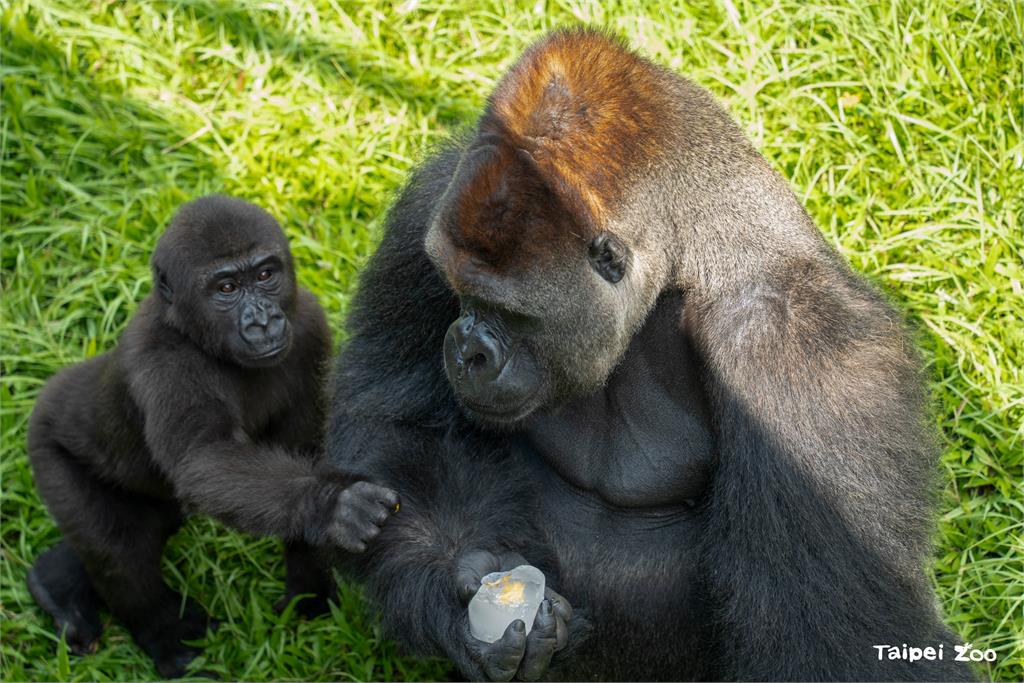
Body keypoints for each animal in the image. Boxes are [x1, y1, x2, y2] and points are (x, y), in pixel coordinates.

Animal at [25, 194, 397, 679]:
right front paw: (333, 504)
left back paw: (56, 585)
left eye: (265, 275)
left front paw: (308, 590)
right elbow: (205, 458)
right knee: (118, 550)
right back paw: (164, 639)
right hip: (49, 452)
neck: (192, 330)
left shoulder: (309, 326)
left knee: (139, 531)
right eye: (226, 288)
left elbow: (301, 449)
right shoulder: (166, 362)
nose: (263, 323)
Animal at [329, 29, 974, 679]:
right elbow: (396, 430)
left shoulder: (802, 349)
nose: (466, 350)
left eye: (507, 311)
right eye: (459, 291)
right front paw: (469, 593)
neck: (686, 263)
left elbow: (834, 641)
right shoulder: (430, 206)